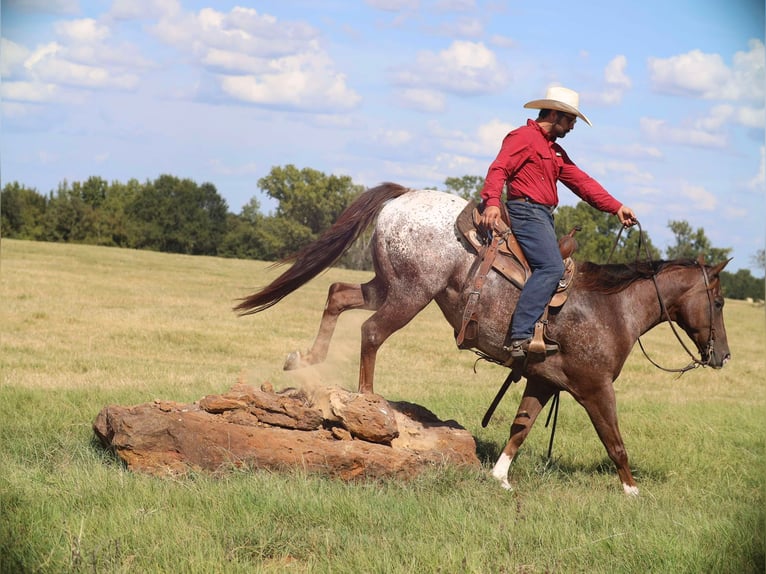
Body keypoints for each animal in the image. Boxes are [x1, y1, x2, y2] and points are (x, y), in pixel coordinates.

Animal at [237, 183, 736, 496]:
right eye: (719, 301)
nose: (724, 356)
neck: (612, 308)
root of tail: (404, 197)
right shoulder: (595, 387)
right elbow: (614, 439)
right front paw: (632, 491)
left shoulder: (543, 380)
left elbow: (520, 427)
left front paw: (500, 477)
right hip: (410, 294)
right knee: (371, 331)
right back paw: (368, 402)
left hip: (386, 284)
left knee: (338, 293)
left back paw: (307, 359)